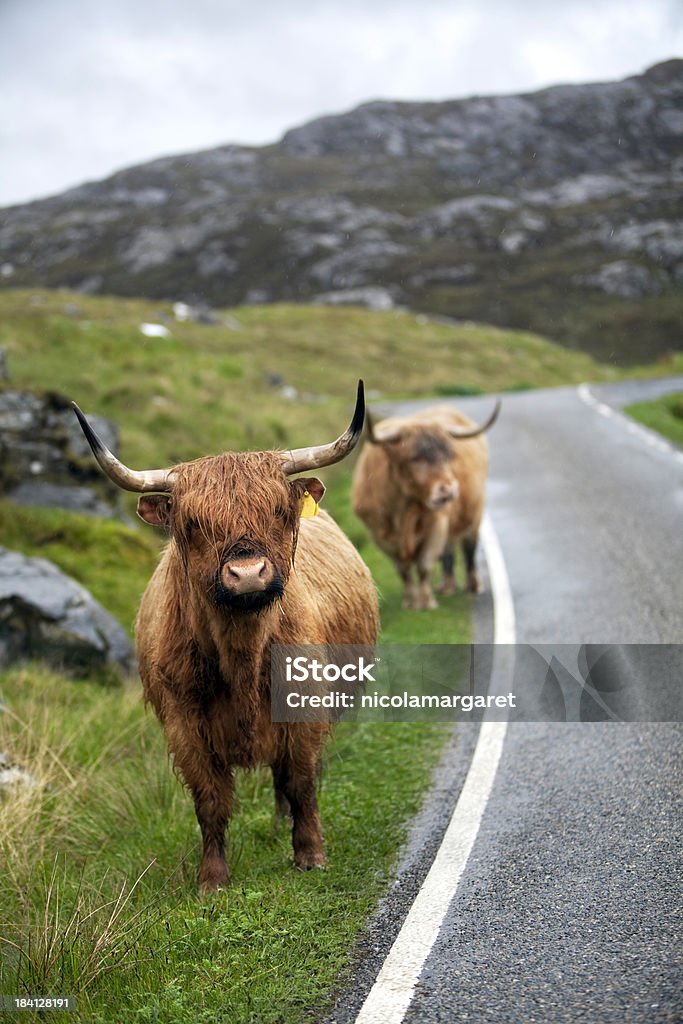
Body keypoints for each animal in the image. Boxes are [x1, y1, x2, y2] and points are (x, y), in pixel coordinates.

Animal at [73, 385, 378, 888]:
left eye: (278, 511)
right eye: (193, 524)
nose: (248, 573)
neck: (242, 652)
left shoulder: (304, 709)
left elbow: (300, 780)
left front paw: (310, 854)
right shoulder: (184, 724)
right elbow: (210, 799)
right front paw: (212, 878)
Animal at [352, 399, 497, 606]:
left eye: (449, 455)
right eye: (415, 458)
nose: (448, 489)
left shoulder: (437, 524)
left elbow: (425, 564)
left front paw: (426, 601)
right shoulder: (379, 534)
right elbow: (403, 569)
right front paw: (410, 601)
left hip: (474, 511)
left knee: (469, 547)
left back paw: (472, 585)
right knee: (448, 550)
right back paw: (447, 586)